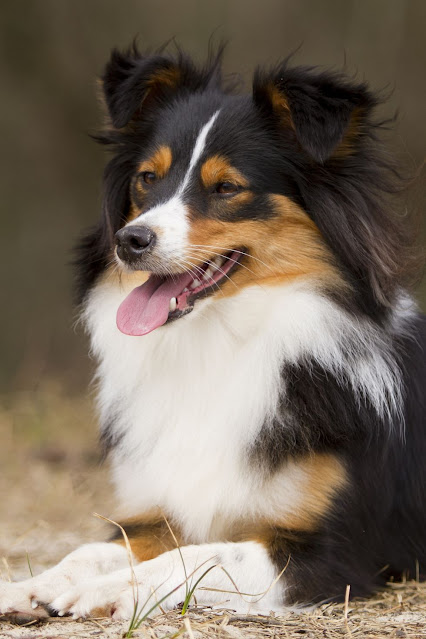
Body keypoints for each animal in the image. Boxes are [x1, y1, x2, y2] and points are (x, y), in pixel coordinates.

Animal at [0, 43, 426, 620]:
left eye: (226, 188)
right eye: (147, 178)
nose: (130, 240)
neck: (219, 342)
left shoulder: (334, 553)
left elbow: (206, 556)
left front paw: (109, 591)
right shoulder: (161, 514)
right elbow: (92, 550)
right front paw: (33, 584)